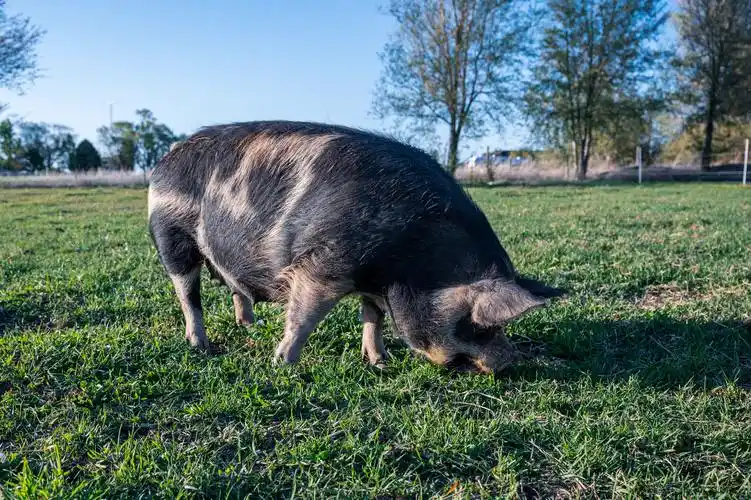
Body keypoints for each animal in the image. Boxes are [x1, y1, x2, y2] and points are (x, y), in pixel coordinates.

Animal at [147, 120, 564, 373]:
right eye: (475, 324)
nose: (510, 360)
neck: (411, 266)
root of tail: (164, 160)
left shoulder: (373, 282)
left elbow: (372, 317)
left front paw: (378, 362)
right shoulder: (322, 264)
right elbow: (304, 317)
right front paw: (284, 364)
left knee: (236, 289)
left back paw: (249, 324)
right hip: (171, 235)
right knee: (188, 295)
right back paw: (201, 346)